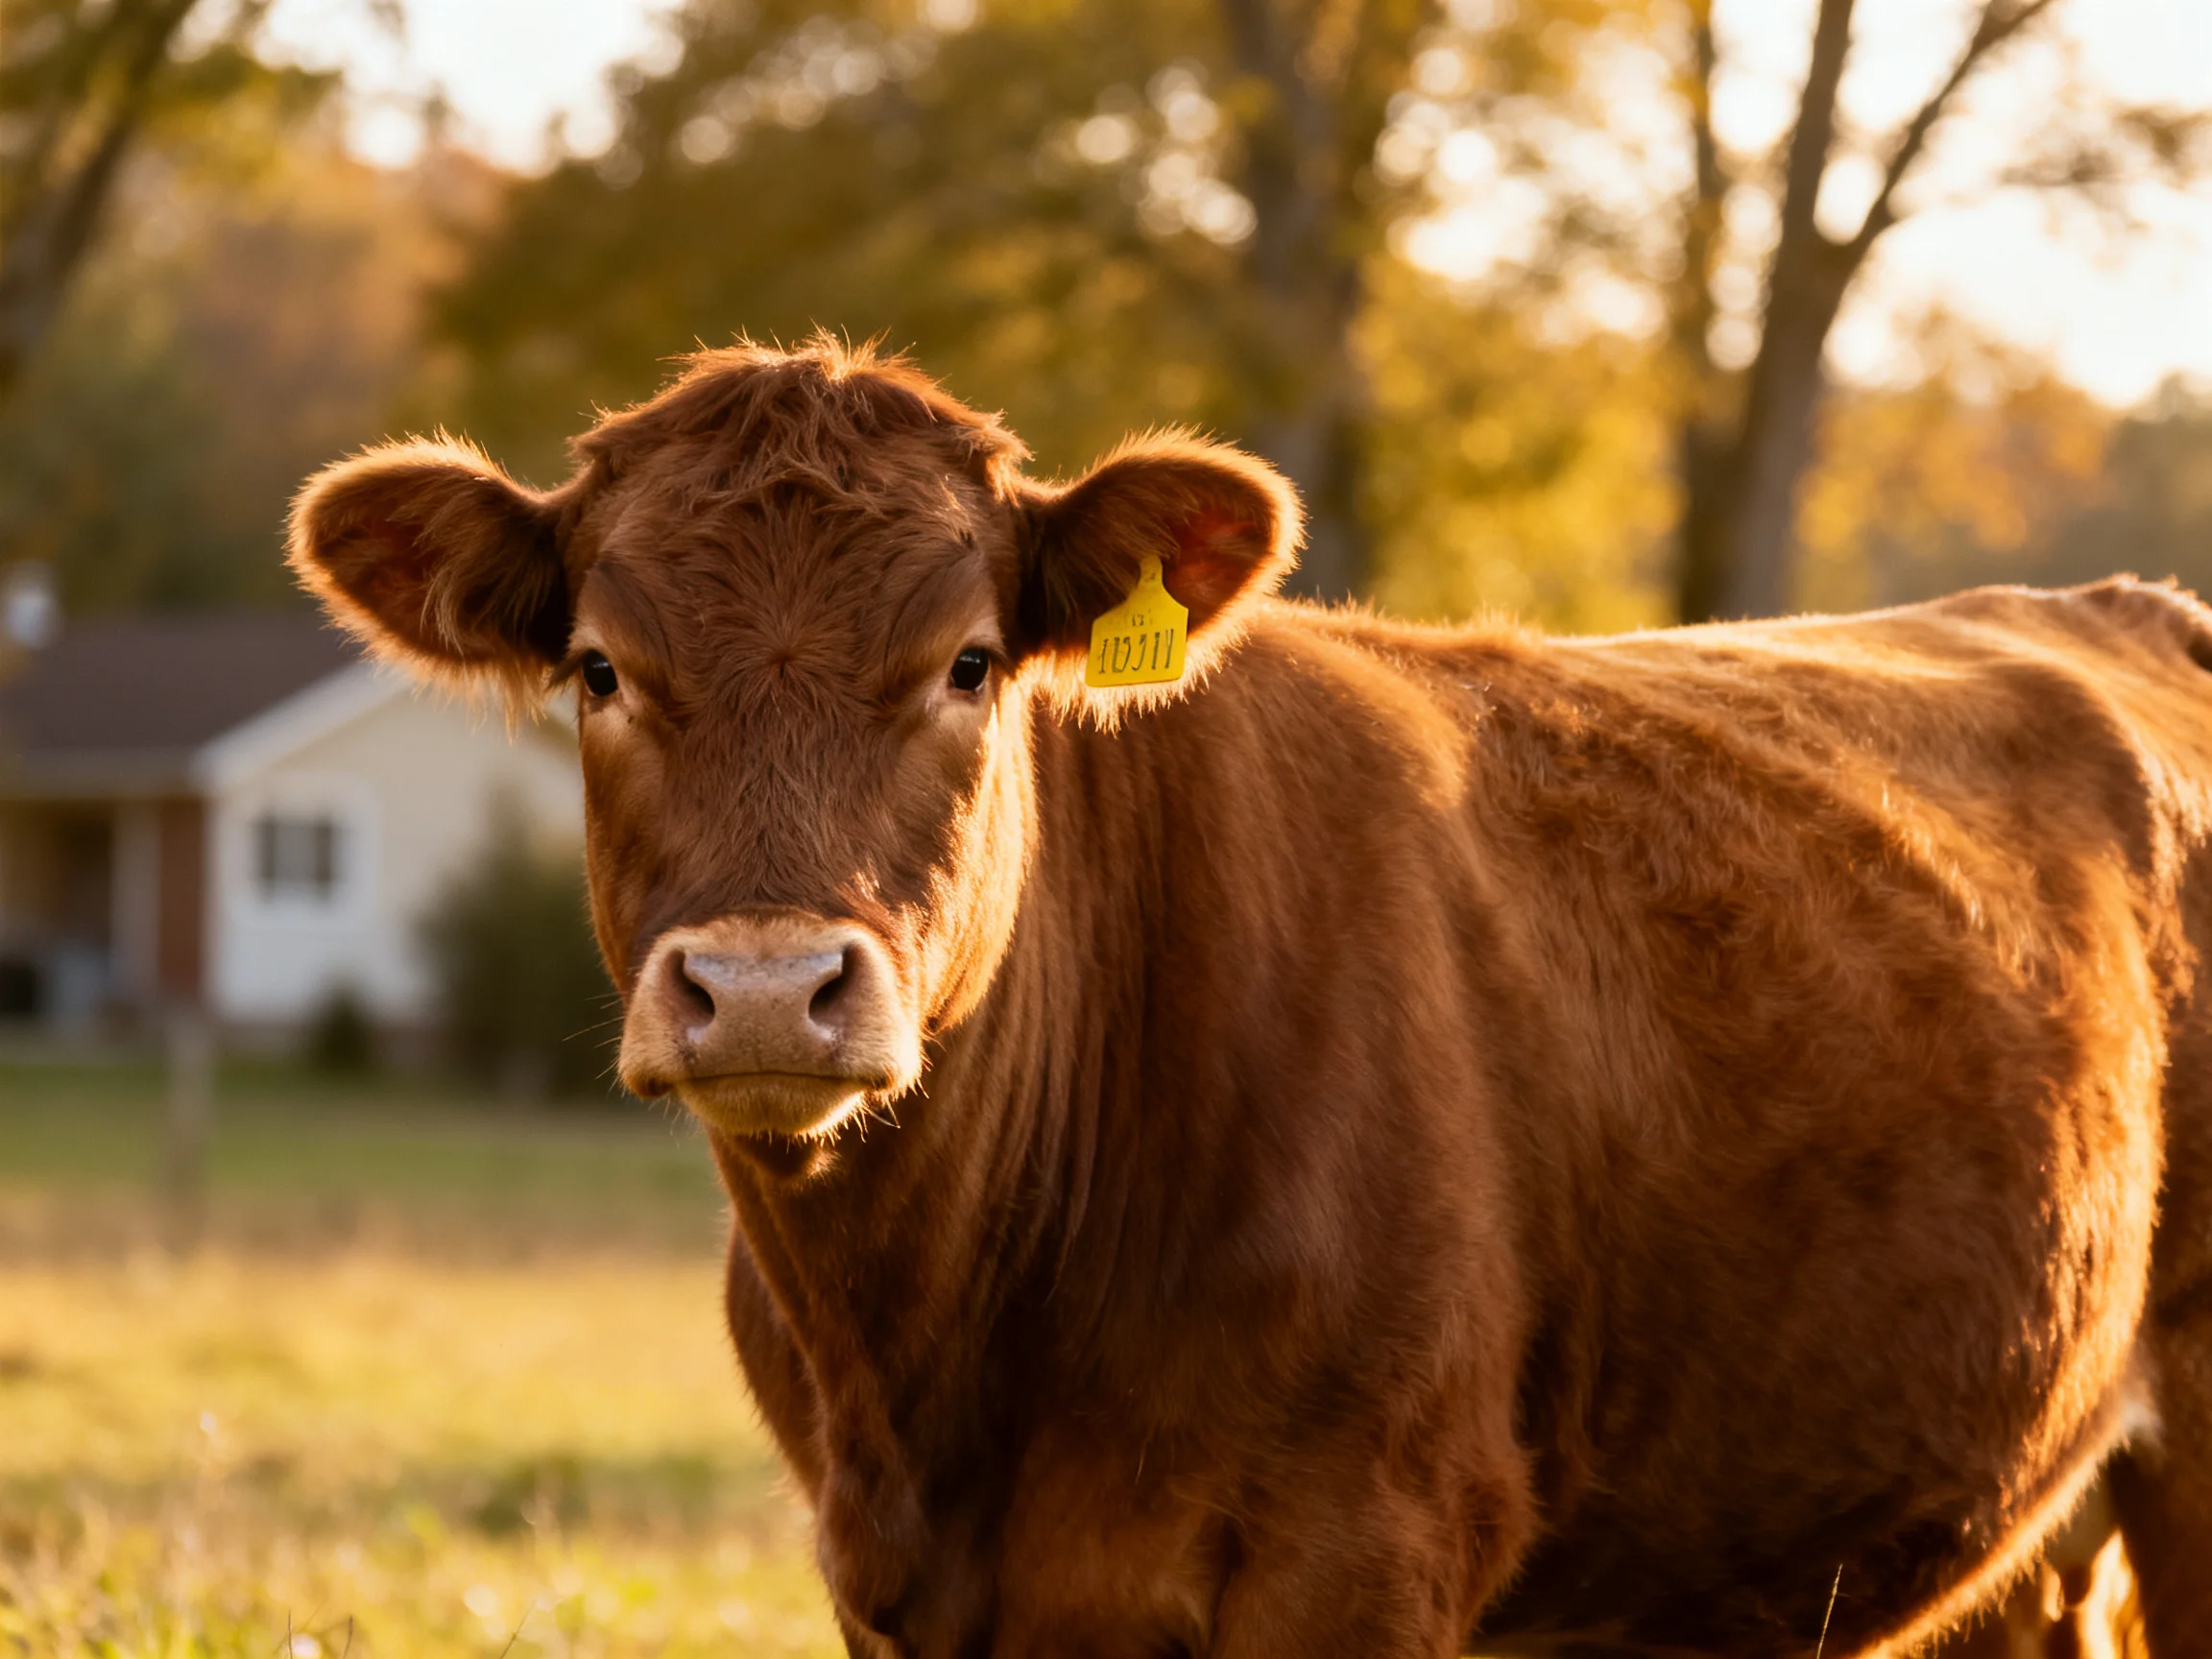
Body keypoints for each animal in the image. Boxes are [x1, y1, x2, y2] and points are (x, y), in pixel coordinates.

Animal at [289, 338, 2210, 1658]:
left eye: (969, 663)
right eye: (599, 669)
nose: (766, 989)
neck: (939, 1361)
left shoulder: (1361, 1543)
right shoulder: (886, 1583)